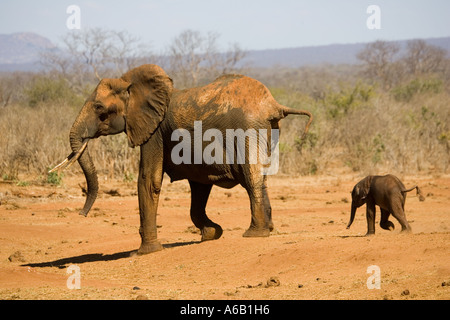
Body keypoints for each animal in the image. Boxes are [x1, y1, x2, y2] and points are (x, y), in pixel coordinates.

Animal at [51, 64, 312, 255]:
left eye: (99, 108)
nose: (81, 214)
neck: (132, 86)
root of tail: (273, 104)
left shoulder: (154, 132)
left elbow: (149, 180)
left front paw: (145, 252)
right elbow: (199, 186)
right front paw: (212, 233)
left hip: (246, 128)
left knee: (252, 176)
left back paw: (255, 234)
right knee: (260, 177)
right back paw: (267, 228)